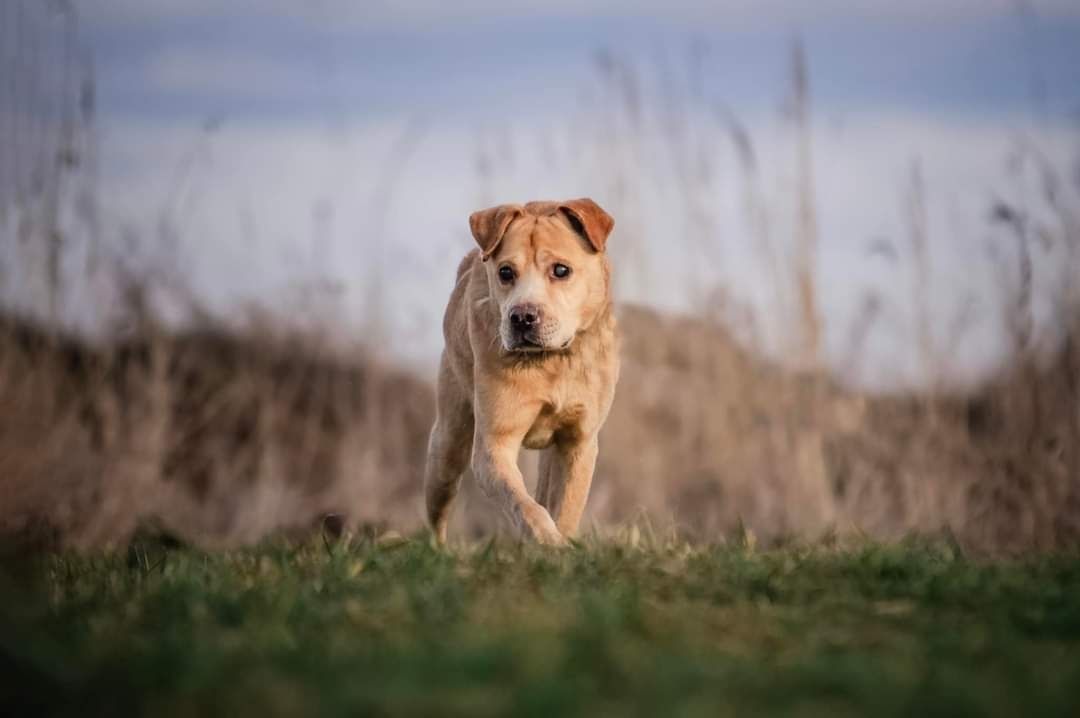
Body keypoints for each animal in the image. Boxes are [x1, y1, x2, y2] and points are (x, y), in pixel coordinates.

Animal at [425, 196, 622, 544]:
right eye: (505, 272)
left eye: (561, 270)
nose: (522, 317)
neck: (550, 361)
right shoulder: (493, 444)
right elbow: (524, 504)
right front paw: (547, 540)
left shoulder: (579, 442)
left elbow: (565, 508)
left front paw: (563, 542)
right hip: (448, 442)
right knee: (439, 503)